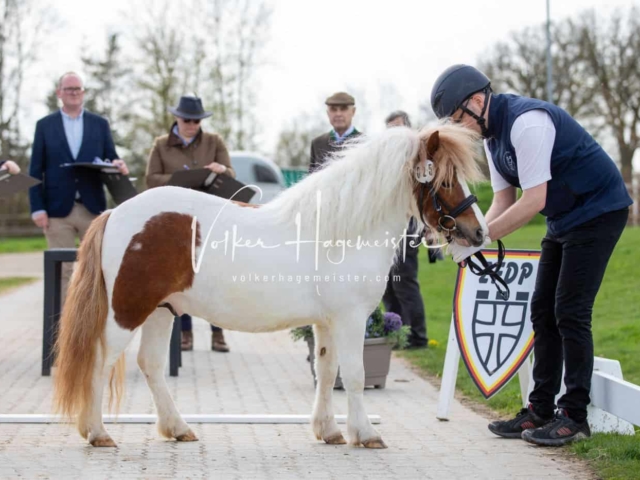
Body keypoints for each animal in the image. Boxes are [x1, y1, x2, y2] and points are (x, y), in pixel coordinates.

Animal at [53, 123, 484, 446]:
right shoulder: (350, 319)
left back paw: (177, 428)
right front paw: (365, 434)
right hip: (127, 311)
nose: (478, 232)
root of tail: (115, 213)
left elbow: (327, 371)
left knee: (151, 365)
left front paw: (328, 431)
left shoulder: (326, 322)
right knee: (100, 361)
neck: (341, 232)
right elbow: (355, 375)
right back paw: (97, 432)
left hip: (163, 311)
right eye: (446, 180)